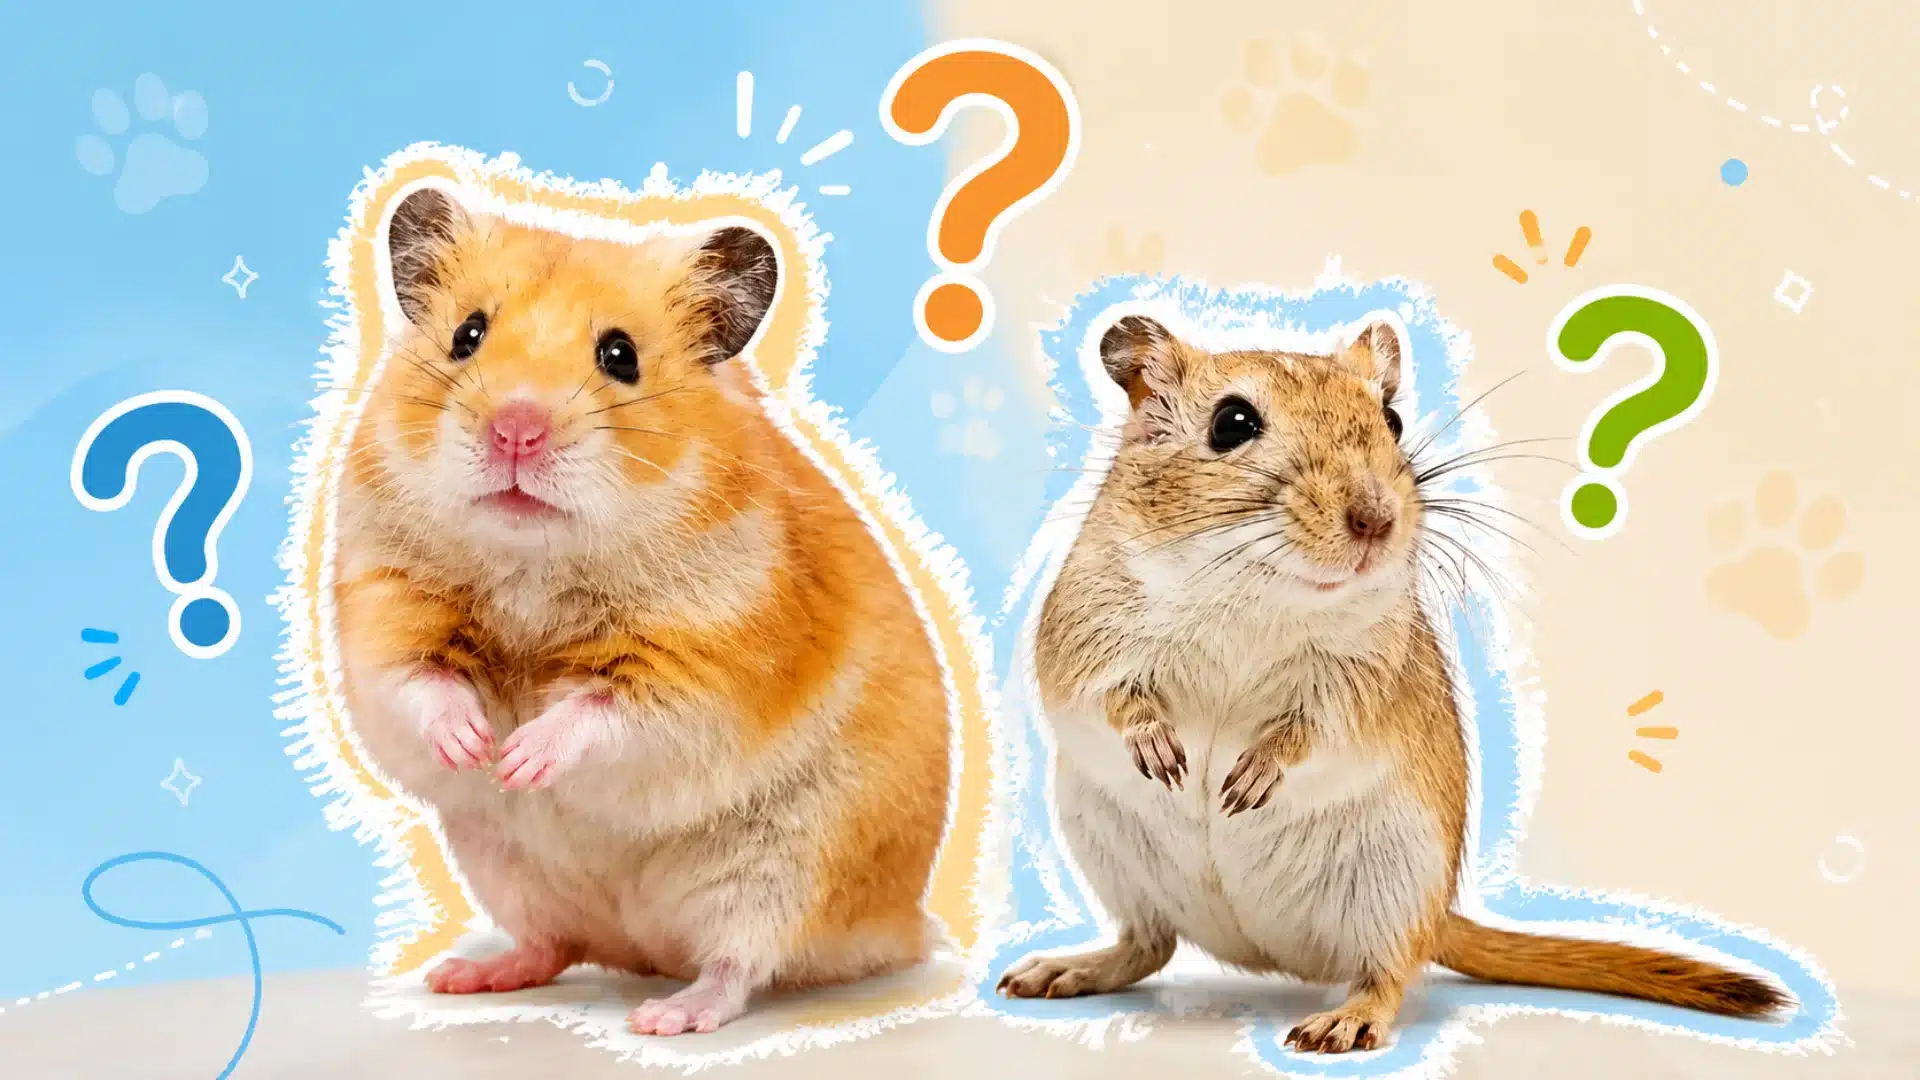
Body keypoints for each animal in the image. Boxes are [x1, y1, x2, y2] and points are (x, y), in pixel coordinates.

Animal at [331, 186, 951, 1037]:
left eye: (620, 356)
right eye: (468, 334)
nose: (514, 431)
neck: (534, 564)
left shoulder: (702, 661)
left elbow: (603, 713)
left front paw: (520, 757)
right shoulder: (384, 603)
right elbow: (419, 682)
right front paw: (475, 749)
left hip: (781, 869)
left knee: (736, 966)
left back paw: (666, 1016)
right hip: (506, 867)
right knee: (554, 944)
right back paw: (464, 976)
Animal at [996, 315, 1789, 1053]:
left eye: (1394, 420)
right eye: (1232, 423)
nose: (1377, 520)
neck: (1257, 591)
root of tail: (1260, 948)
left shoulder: (1362, 679)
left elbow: (1312, 730)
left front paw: (1245, 783)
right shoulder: (1087, 634)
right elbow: (1110, 699)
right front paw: (1163, 753)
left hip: (1396, 885)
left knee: (1388, 974)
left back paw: (1341, 1024)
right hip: (1111, 852)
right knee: (1147, 943)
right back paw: (1058, 971)